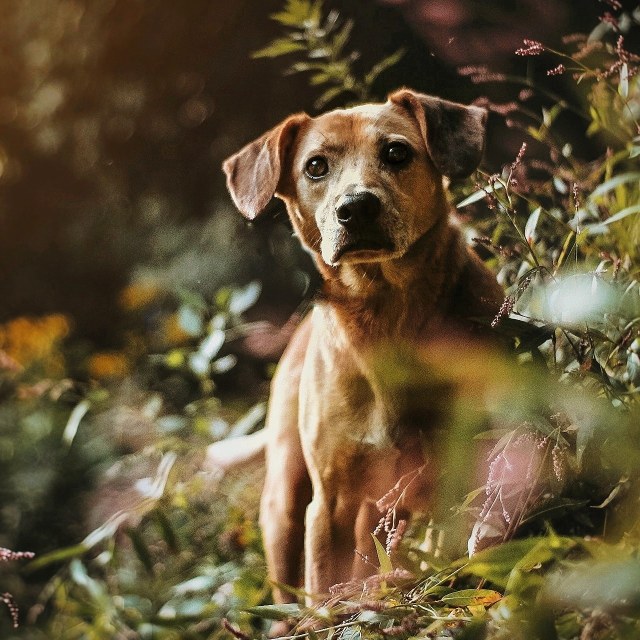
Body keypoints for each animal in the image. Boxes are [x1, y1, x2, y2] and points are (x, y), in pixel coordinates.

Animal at [220, 87, 504, 608]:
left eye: (396, 152)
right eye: (315, 166)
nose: (356, 207)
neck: (385, 312)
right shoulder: (329, 504)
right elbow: (321, 588)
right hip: (286, 501)